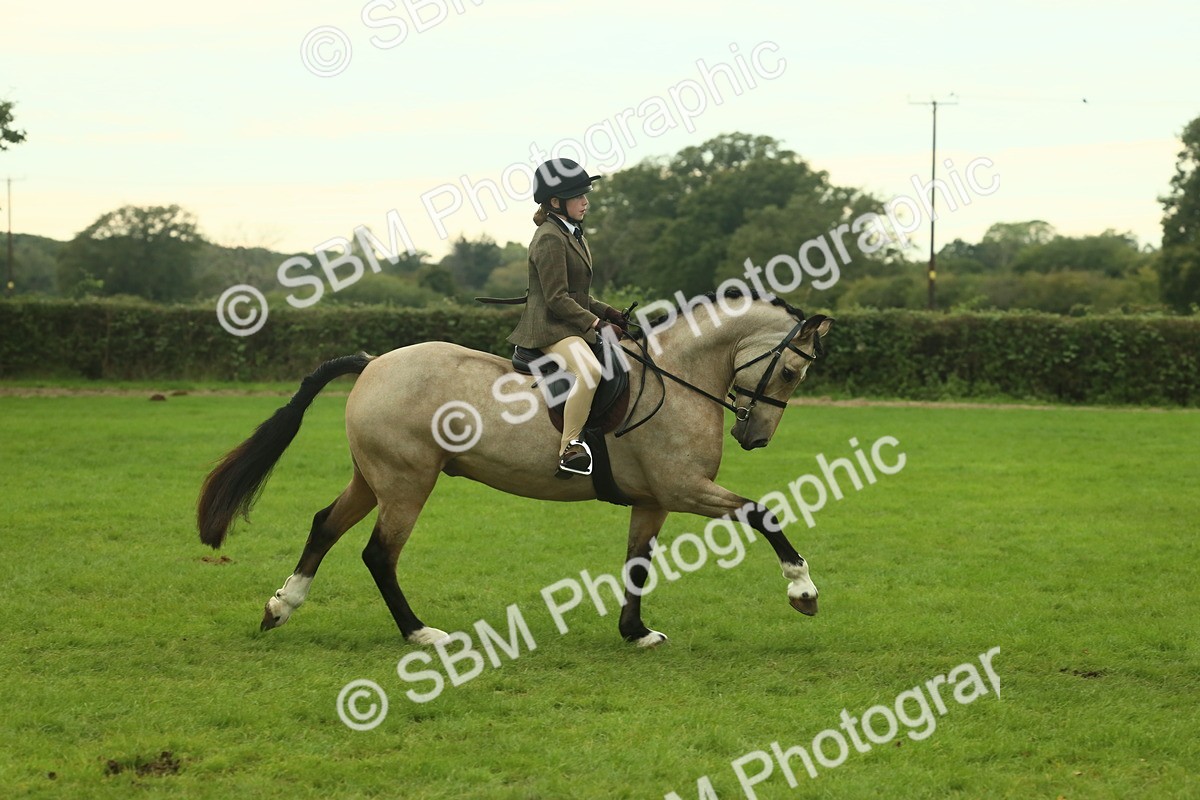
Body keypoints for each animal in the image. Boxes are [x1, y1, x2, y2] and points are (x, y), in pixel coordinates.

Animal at [196, 292, 833, 648]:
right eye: (788, 373)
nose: (755, 437)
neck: (677, 379)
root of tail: (374, 363)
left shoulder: (653, 500)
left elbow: (636, 564)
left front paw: (635, 633)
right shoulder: (685, 489)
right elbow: (762, 513)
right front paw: (802, 589)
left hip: (373, 478)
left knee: (325, 524)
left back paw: (281, 606)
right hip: (407, 483)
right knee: (378, 554)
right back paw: (420, 633)